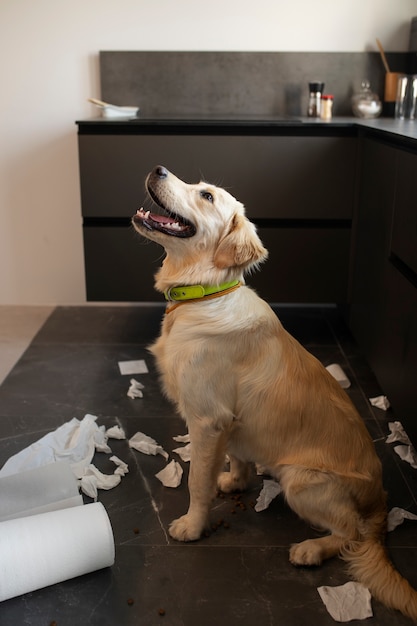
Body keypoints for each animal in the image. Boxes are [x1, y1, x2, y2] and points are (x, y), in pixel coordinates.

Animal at [132, 166, 416, 620]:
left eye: (206, 196)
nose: (157, 168)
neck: (204, 294)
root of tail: (381, 500)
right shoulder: (228, 422)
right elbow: (235, 456)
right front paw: (233, 481)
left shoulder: (207, 420)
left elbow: (196, 482)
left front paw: (193, 525)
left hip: (301, 482)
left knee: (352, 533)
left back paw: (311, 549)